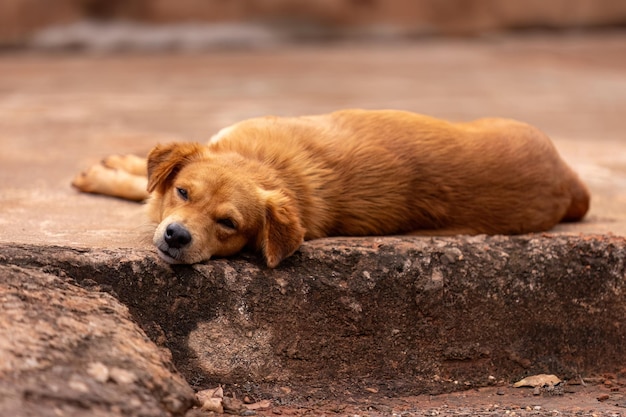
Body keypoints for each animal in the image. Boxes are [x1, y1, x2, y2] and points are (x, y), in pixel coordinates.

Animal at [70, 109, 588, 266]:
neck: (263, 165)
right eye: (184, 193)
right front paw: (116, 168)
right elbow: (147, 181)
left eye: (228, 224)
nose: (177, 236)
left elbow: (141, 191)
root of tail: (569, 179)